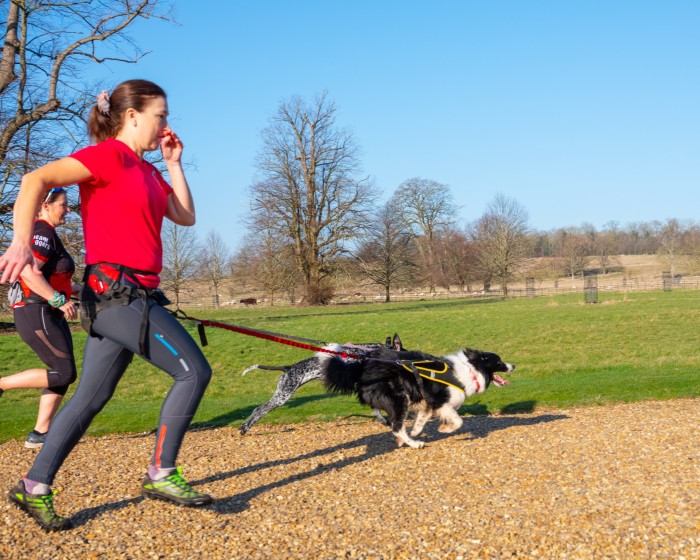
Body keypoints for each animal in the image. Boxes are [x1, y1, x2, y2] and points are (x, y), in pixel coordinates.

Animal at [318, 344, 516, 448]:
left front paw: (415, 431)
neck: (471, 369)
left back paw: (405, 438)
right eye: (499, 361)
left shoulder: (428, 404)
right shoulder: (440, 401)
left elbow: (421, 421)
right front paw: (444, 429)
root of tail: (362, 369)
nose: (513, 366)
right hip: (400, 400)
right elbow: (458, 421)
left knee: (390, 421)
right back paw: (414, 444)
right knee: (396, 427)